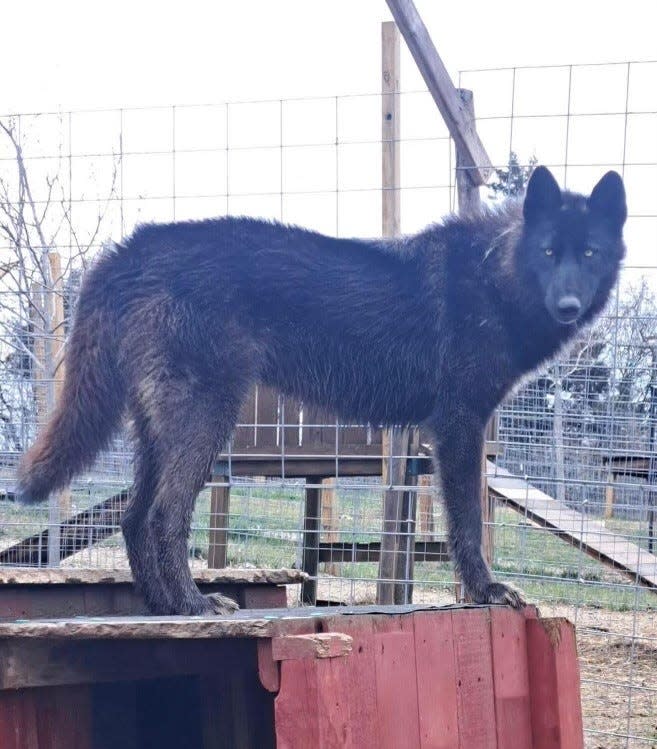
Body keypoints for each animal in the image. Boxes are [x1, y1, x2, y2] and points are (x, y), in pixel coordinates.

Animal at [16, 165, 624, 612]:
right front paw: (486, 591)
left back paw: (166, 609)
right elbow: (469, 525)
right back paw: (194, 606)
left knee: (132, 517)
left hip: (161, 432)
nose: (568, 305)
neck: (495, 274)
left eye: (589, 253)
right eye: (549, 252)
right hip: (208, 421)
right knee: (163, 516)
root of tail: (132, 249)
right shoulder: (459, 425)